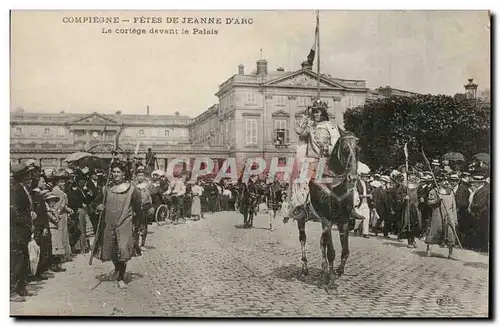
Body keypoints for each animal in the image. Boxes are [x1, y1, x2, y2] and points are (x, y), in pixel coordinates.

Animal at [294, 127, 358, 288]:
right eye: (345, 149)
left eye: (357, 149)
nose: (352, 178)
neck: (335, 185)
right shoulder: (327, 221)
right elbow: (332, 252)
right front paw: (331, 278)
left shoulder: (343, 221)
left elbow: (345, 250)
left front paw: (338, 271)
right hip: (302, 220)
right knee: (303, 239)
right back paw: (305, 268)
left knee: (322, 242)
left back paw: (323, 270)